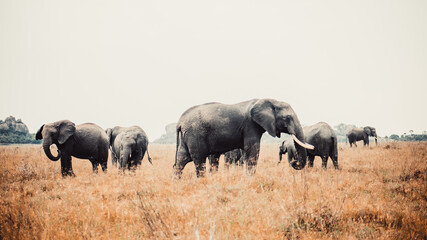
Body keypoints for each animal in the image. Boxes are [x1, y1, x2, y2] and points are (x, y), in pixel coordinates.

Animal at [174, 98, 314, 178]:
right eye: (287, 118)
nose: (295, 162)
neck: (269, 100)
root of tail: (180, 121)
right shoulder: (250, 125)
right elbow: (253, 150)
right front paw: (250, 180)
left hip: (187, 136)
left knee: (181, 160)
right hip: (195, 134)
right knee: (199, 160)